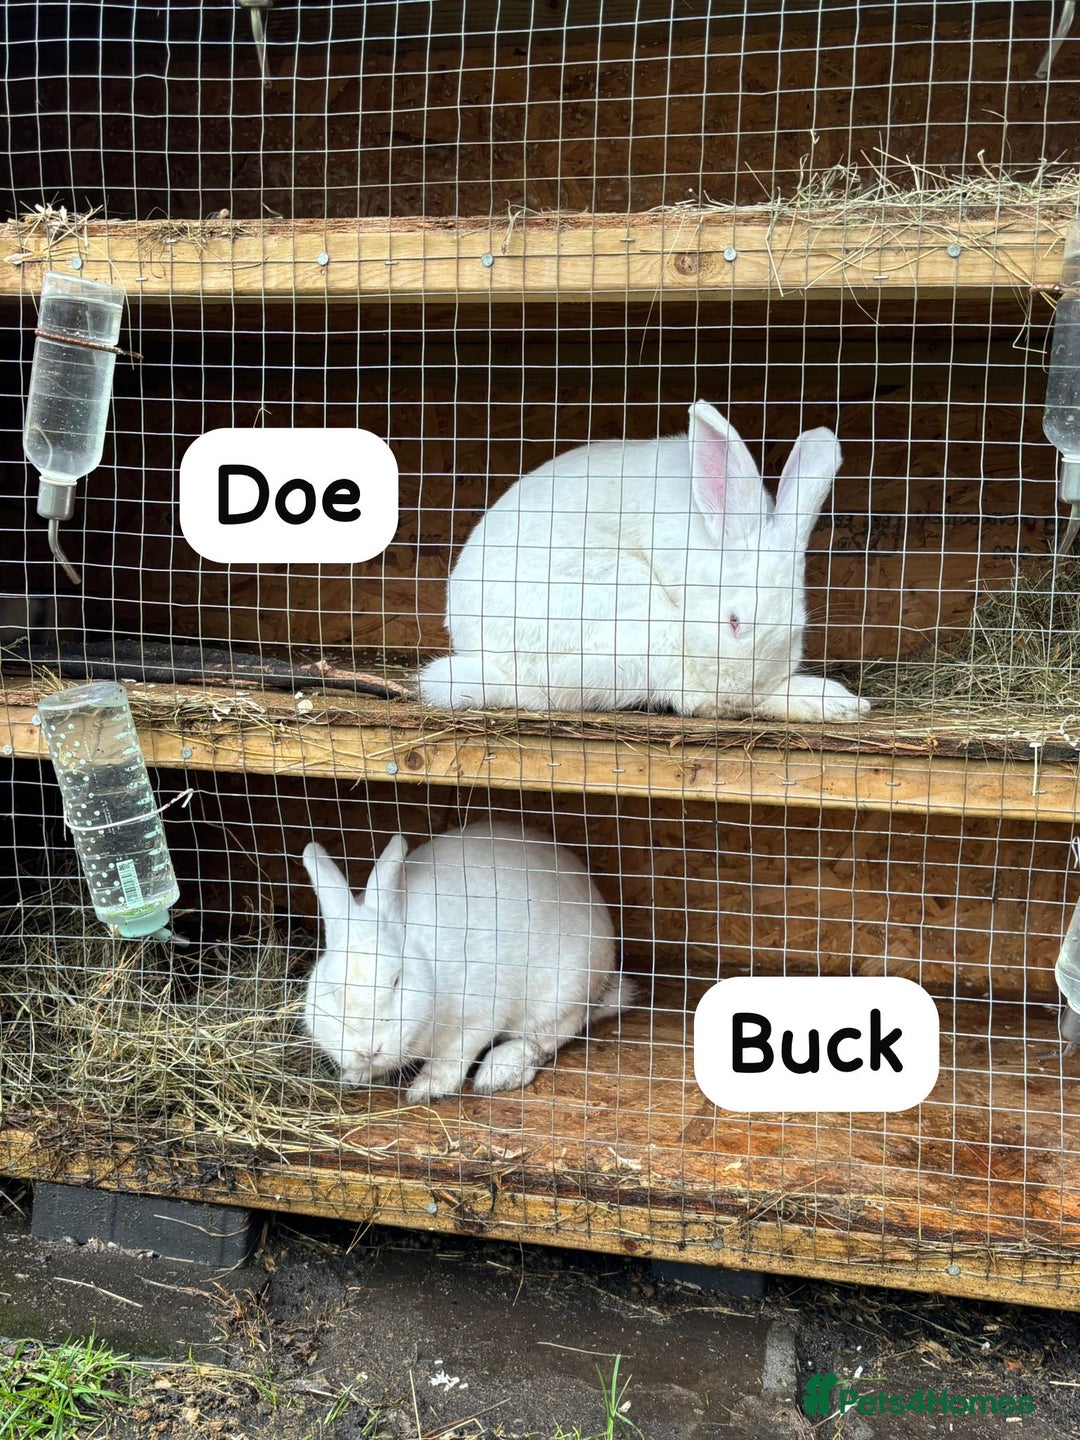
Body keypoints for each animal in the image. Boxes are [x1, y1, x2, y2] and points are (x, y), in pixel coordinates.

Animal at [301, 820, 631, 1105]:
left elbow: (451, 1058)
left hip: (561, 995)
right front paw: (353, 1076)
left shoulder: (476, 1019)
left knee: (547, 1039)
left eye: (396, 981)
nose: (368, 1049)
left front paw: (426, 1089)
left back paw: (497, 1073)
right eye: (332, 991)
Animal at [418, 400, 868, 723]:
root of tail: (508, 677)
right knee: (683, 694)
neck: (711, 541)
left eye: (797, 631)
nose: (736, 694)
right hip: (634, 616)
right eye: (734, 621)